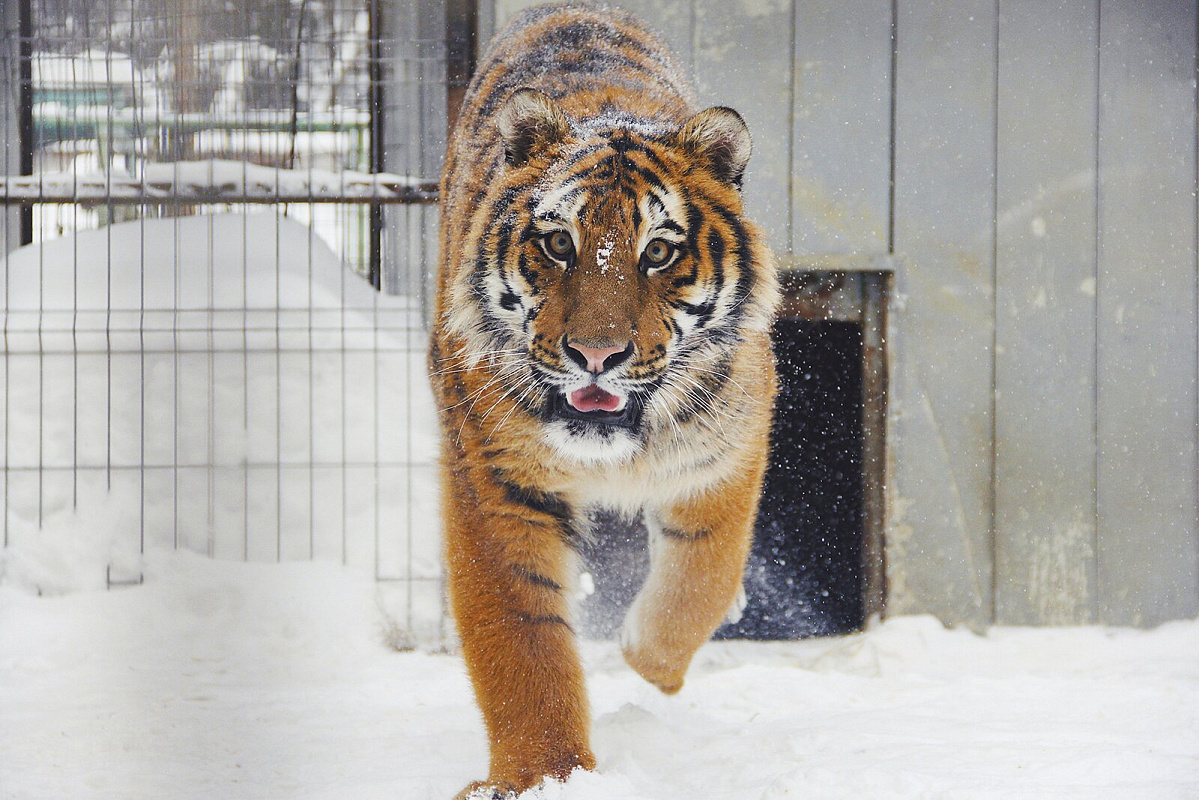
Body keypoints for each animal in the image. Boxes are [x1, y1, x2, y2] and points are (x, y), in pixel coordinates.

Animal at [426, 3, 781, 796]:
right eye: (559, 244)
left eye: (658, 252)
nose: (596, 355)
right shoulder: (495, 483)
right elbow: (521, 646)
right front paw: (542, 775)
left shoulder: (724, 456)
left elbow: (702, 579)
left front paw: (647, 662)